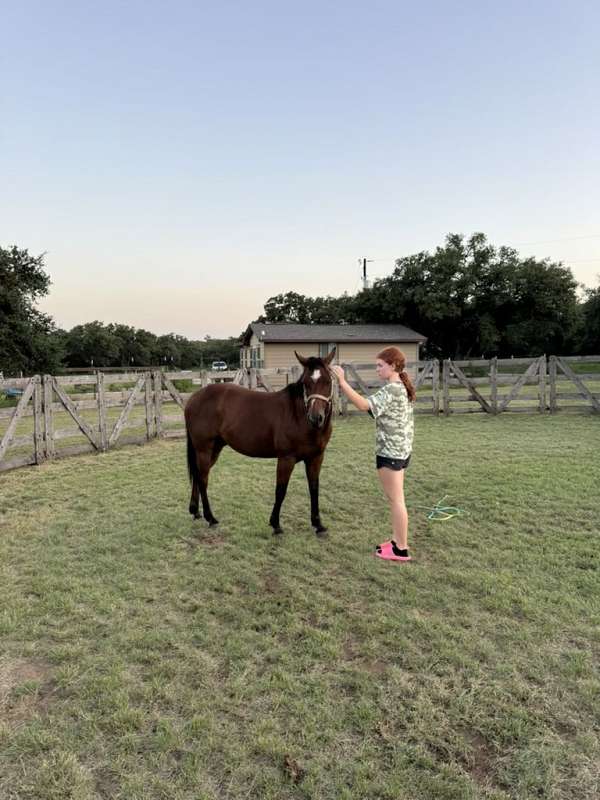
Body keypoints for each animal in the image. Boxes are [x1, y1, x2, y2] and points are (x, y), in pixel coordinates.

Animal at [185, 346, 336, 536]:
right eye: (306, 383)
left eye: (328, 382)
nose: (316, 418)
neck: (298, 415)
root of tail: (193, 398)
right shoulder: (286, 459)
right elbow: (281, 490)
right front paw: (276, 524)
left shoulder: (316, 458)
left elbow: (314, 488)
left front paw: (318, 524)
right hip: (204, 449)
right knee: (203, 479)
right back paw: (210, 517)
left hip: (214, 449)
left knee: (198, 476)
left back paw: (195, 511)